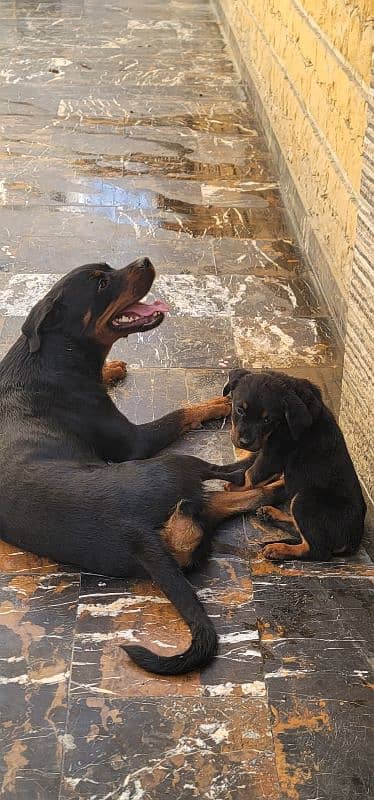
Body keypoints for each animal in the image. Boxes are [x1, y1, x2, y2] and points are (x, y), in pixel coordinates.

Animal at [0, 260, 262, 676]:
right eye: (102, 283)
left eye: (107, 268)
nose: (145, 262)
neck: (52, 354)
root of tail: (134, 535)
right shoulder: (134, 442)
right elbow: (184, 412)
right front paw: (221, 403)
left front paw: (113, 368)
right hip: (173, 466)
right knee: (231, 478)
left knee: (223, 503)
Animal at [224, 370, 366, 564]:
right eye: (239, 410)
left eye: (267, 419)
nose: (244, 442)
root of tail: (354, 540)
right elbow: (250, 468)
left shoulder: (275, 452)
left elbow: (252, 474)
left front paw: (234, 487)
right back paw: (271, 514)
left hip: (304, 499)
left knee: (316, 550)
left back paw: (278, 549)